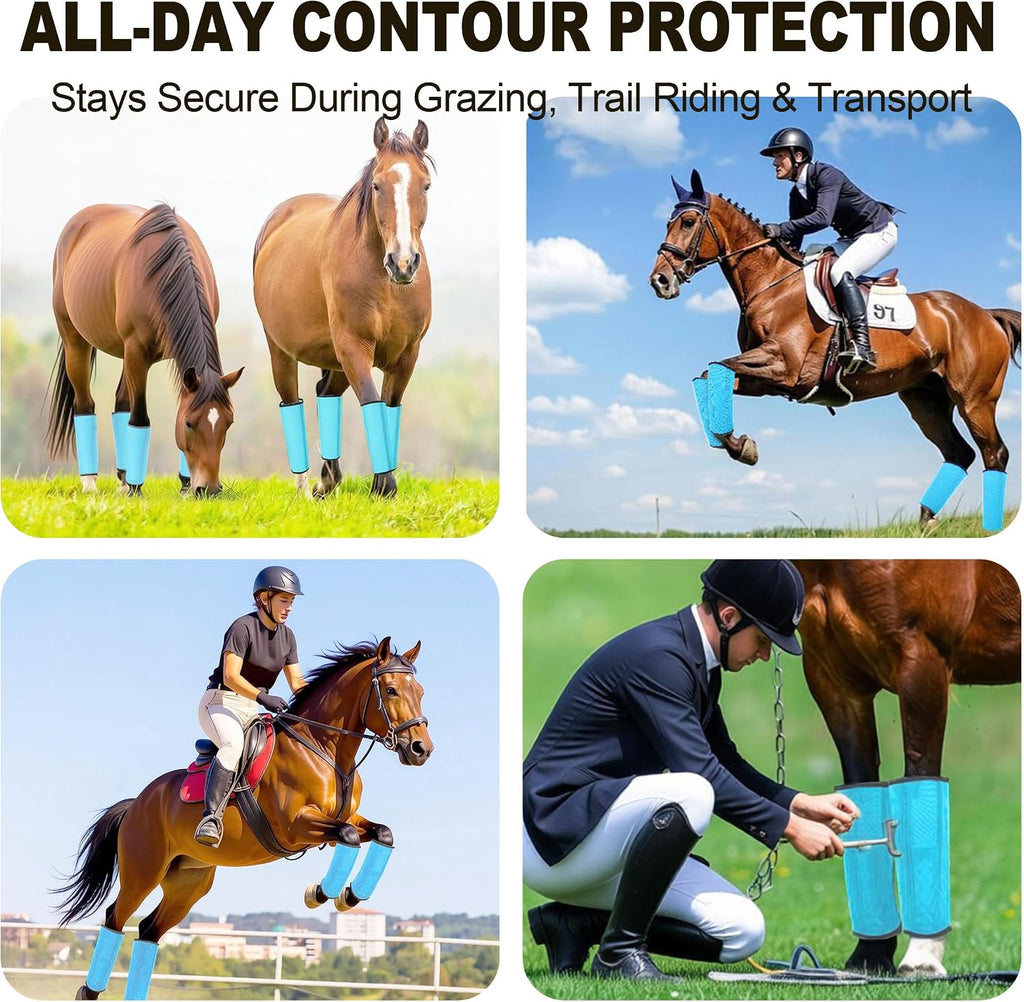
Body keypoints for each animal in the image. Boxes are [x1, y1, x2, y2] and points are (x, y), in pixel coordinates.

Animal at [48, 203, 244, 496]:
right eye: (189, 424)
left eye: (228, 423)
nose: (208, 489)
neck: (165, 272)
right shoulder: (137, 352)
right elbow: (139, 417)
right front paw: (136, 488)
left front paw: (183, 484)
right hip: (76, 341)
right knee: (84, 404)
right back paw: (91, 482)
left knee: (120, 403)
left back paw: (123, 478)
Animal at [55, 637, 432, 1000]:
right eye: (392, 690)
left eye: (421, 692)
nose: (421, 749)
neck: (322, 748)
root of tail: (137, 803)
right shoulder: (296, 825)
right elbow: (349, 837)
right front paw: (321, 893)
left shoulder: (346, 817)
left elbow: (381, 833)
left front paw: (349, 896)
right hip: (143, 872)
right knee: (115, 919)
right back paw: (88, 991)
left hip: (188, 883)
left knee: (149, 930)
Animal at [253, 117, 434, 499]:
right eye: (377, 186)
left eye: (425, 186)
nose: (403, 262)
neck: (385, 284)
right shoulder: (354, 346)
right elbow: (371, 400)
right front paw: (385, 485)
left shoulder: (407, 354)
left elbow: (389, 406)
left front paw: (380, 485)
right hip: (283, 351)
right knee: (291, 401)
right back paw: (305, 490)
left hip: (335, 358)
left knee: (326, 394)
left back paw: (327, 480)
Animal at [649, 171, 1021, 532]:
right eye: (667, 222)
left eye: (688, 222)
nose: (660, 281)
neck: (771, 284)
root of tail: (986, 314)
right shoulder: (766, 381)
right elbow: (711, 374)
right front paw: (738, 445)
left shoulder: (784, 367)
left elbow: (716, 368)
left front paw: (741, 447)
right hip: (925, 399)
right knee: (959, 453)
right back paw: (926, 522)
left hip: (974, 399)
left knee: (994, 453)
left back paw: (987, 525)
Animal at [795, 560, 1020, 976]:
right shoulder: (832, 676)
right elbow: (862, 802)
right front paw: (869, 955)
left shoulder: (922, 662)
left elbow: (920, 792)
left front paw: (922, 956)